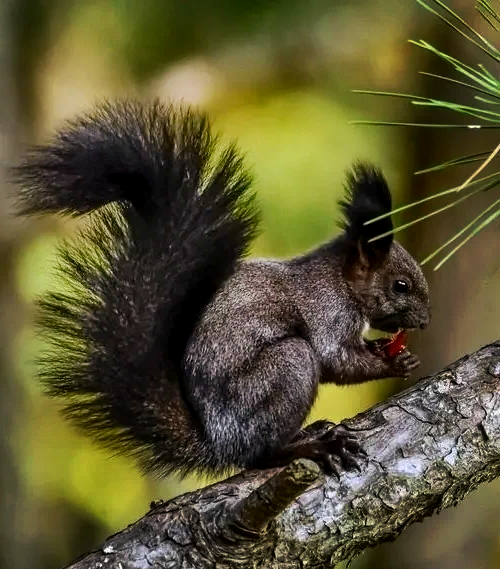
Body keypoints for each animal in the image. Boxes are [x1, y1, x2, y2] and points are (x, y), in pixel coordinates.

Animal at [14, 100, 430, 478]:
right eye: (401, 285)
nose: (425, 321)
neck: (341, 280)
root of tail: (218, 441)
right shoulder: (327, 311)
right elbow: (336, 359)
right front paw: (392, 362)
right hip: (285, 370)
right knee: (261, 452)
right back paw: (309, 446)